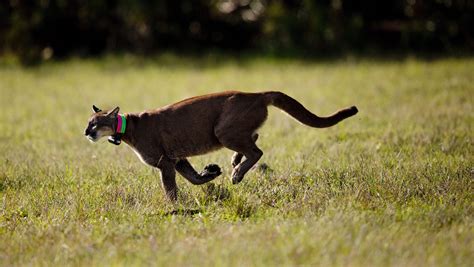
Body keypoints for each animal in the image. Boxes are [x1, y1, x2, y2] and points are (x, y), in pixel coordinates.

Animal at [86, 91, 360, 201]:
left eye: (95, 123)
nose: (85, 132)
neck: (128, 127)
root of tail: (257, 94)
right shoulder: (176, 158)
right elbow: (193, 178)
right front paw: (210, 172)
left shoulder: (165, 162)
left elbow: (170, 187)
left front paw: (174, 206)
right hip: (230, 132)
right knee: (254, 140)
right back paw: (234, 163)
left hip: (223, 131)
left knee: (257, 150)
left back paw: (237, 173)